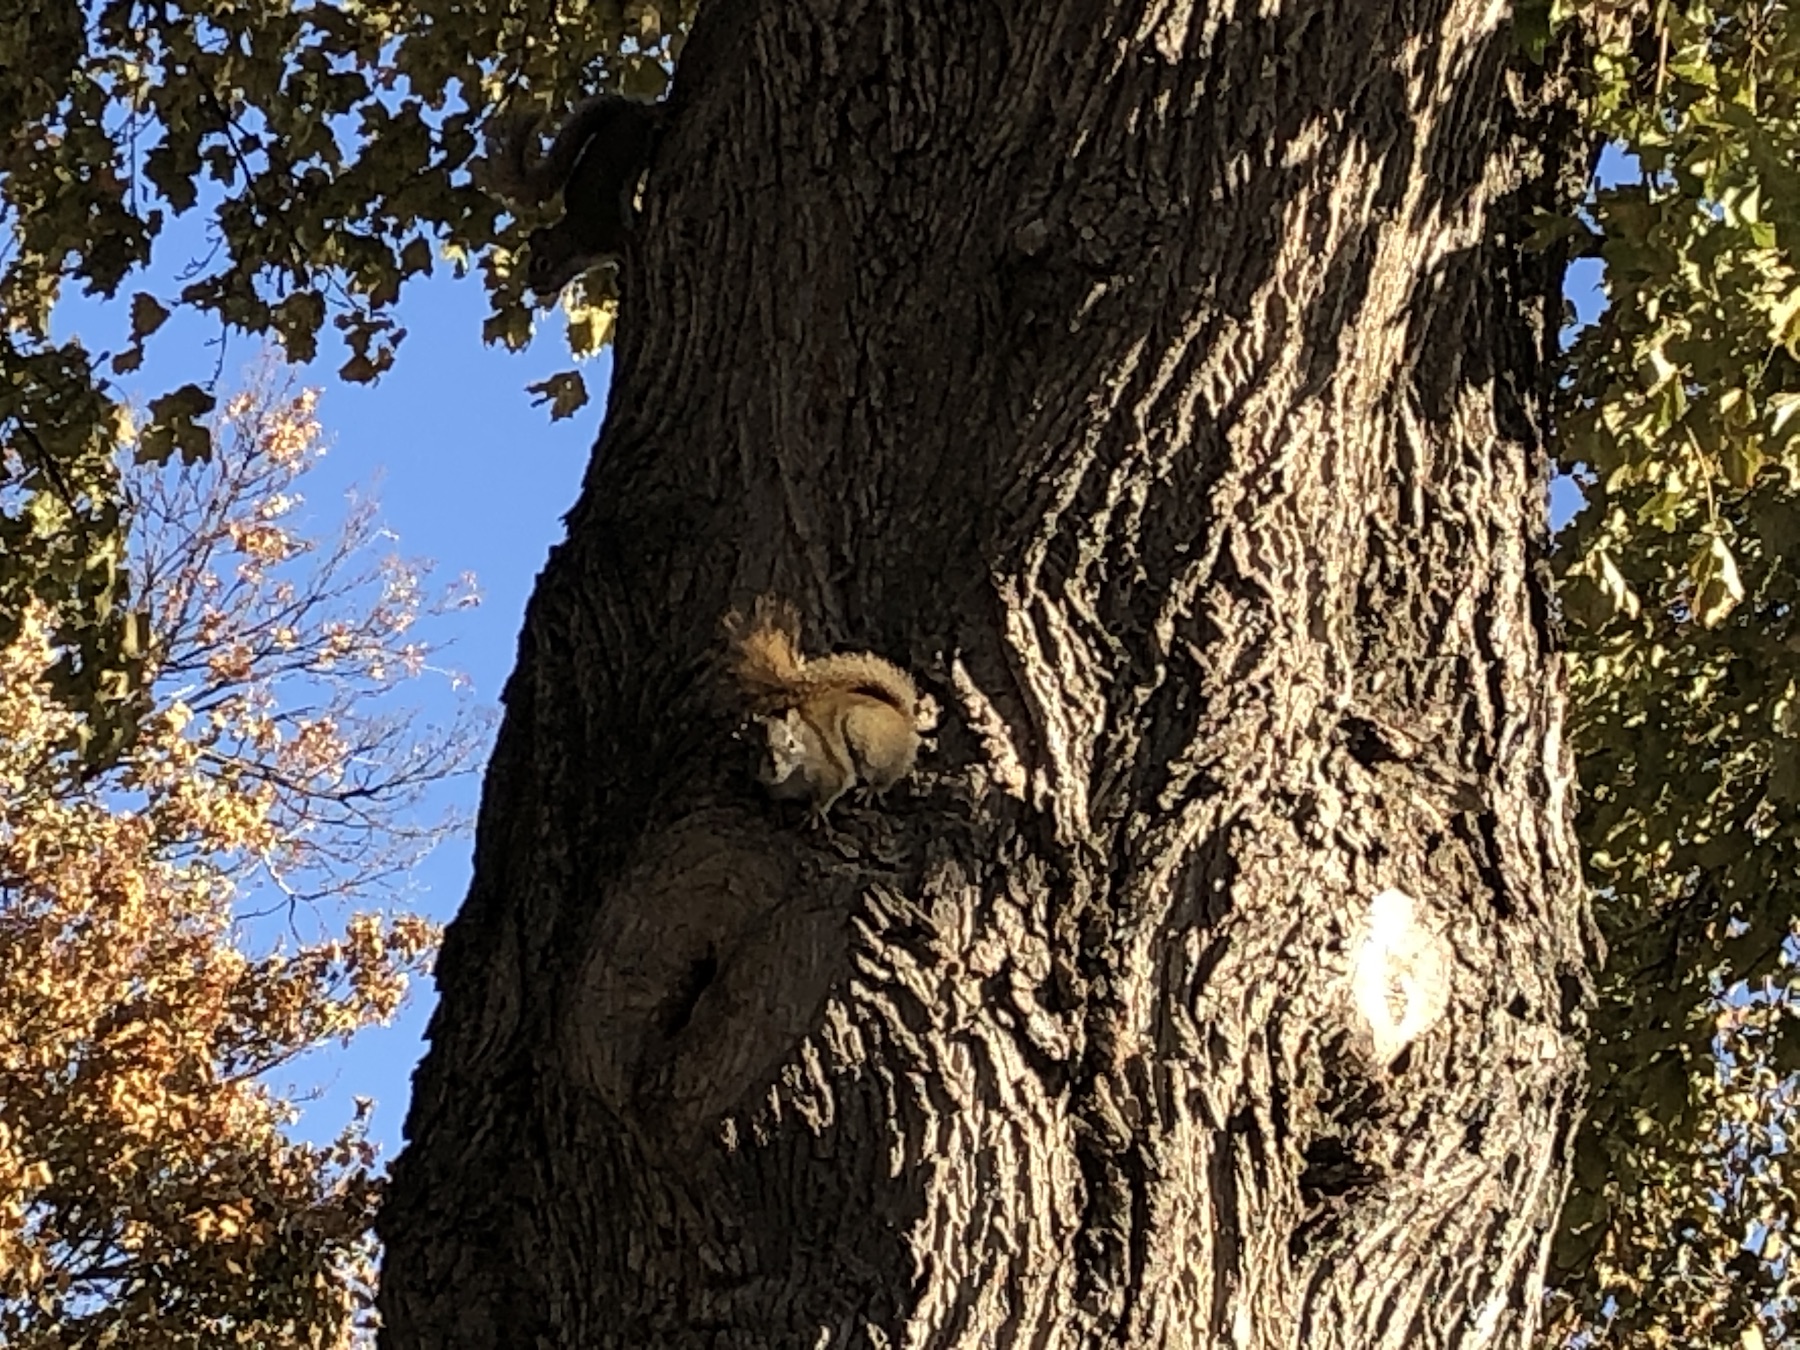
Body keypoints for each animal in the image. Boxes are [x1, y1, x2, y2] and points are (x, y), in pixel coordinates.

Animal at [484, 94, 667, 301]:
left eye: (543, 263)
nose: (536, 289)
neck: (573, 239)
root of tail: (630, 108)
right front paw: (621, 279)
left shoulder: (606, 234)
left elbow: (629, 247)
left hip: (637, 137)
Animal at [725, 596, 926, 819]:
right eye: (761, 748)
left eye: (791, 743)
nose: (775, 770)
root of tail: (904, 721)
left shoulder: (831, 770)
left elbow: (837, 785)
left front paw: (815, 811)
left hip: (869, 739)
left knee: (890, 772)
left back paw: (872, 789)